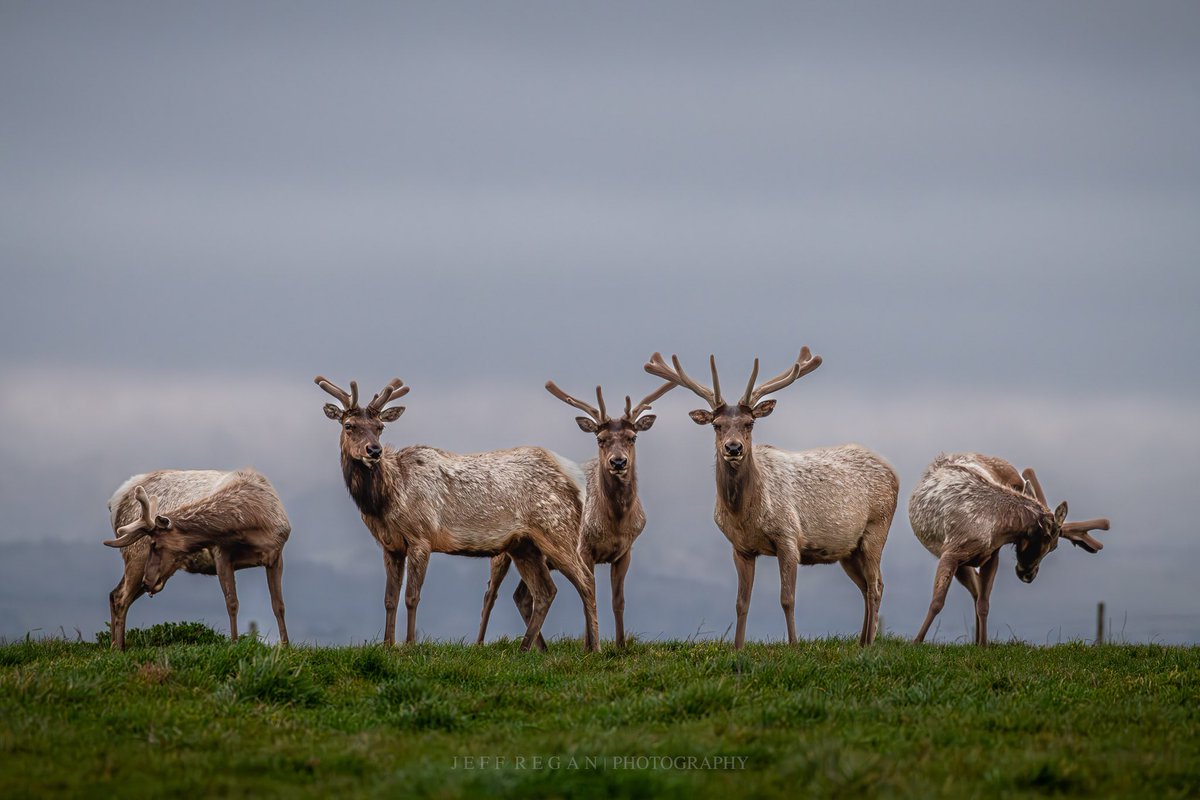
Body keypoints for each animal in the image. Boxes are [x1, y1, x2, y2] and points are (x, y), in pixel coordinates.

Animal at [103, 468, 291, 650]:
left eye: (154, 544)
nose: (147, 581)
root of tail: (114, 501)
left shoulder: (276, 556)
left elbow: (278, 605)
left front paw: (285, 646)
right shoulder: (221, 553)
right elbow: (232, 603)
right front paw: (234, 645)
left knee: (115, 595)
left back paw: (115, 647)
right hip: (135, 554)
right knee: (120, 597)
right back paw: (118, 649)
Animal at [315, 375, 600, 652]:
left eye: (380, 427)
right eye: (349, 425)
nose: (374, 450)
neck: (386, 500)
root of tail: (575, 480)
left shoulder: (422, 536)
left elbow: (411, 597)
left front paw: (409, 646)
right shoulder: (390, 545)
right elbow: (389, 599)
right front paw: (387, 645)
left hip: (557, 529)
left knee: (586, 581)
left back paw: (593, 648)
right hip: (524, 545)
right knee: (545, 591)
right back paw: (525, 648)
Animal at [476, 379, 676, 649]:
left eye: (632, 437)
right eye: (600, 439)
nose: (618, 462)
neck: (615, 522)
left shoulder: (625, 551)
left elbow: (618, 601)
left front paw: (620, 647)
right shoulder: (584, 549)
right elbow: (588, 595)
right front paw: (589, 647)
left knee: (523, 595)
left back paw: (542, 648)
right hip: (502, 549)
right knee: (491, 593)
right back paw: (479, 644)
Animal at [645, 348, 899, 649]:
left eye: (750, 423)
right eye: (717, 425)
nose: (733, 448)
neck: (746, 516)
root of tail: (893, 472)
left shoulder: (788, 536)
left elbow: (787, 599)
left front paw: (794, 645)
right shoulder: (740, 547)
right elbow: (741, 602)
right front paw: (738, 647)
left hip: (877, 528)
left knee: (876, 585)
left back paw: (869, 643)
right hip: (848, 548)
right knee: (865, 586)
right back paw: (861, 641)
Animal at [909, 452, 1110, 645]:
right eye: (1053, 546)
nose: (1028, 575)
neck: (995, 529)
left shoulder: (992, 555)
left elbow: (984, 604)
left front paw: (983, 644)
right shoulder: (951, 552)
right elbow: (937, 602)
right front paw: (916, 641)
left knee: (976, 594)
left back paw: (976, 640)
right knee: (972, 591)